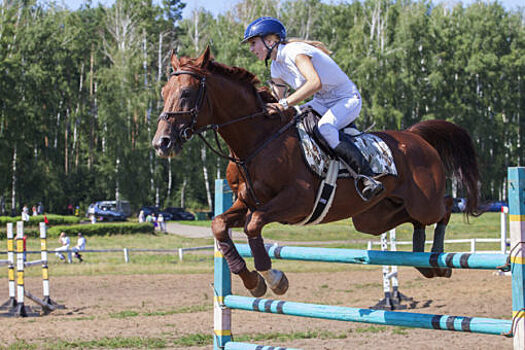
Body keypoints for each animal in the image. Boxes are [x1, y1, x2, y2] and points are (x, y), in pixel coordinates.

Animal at [150, 47, 478, 298]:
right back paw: (424, 263)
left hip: (424, 201)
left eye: (187, 93)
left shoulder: (296, 201)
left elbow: (254, 226)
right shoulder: (247, 202)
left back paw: (438, 259)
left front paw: (273, 278)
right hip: (372, 218)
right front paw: (252, 281)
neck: (258, 140)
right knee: (413, 221)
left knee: (445, 206)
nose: (161, 143)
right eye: (164, 91)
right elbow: (219, 225)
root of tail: (416, 137)